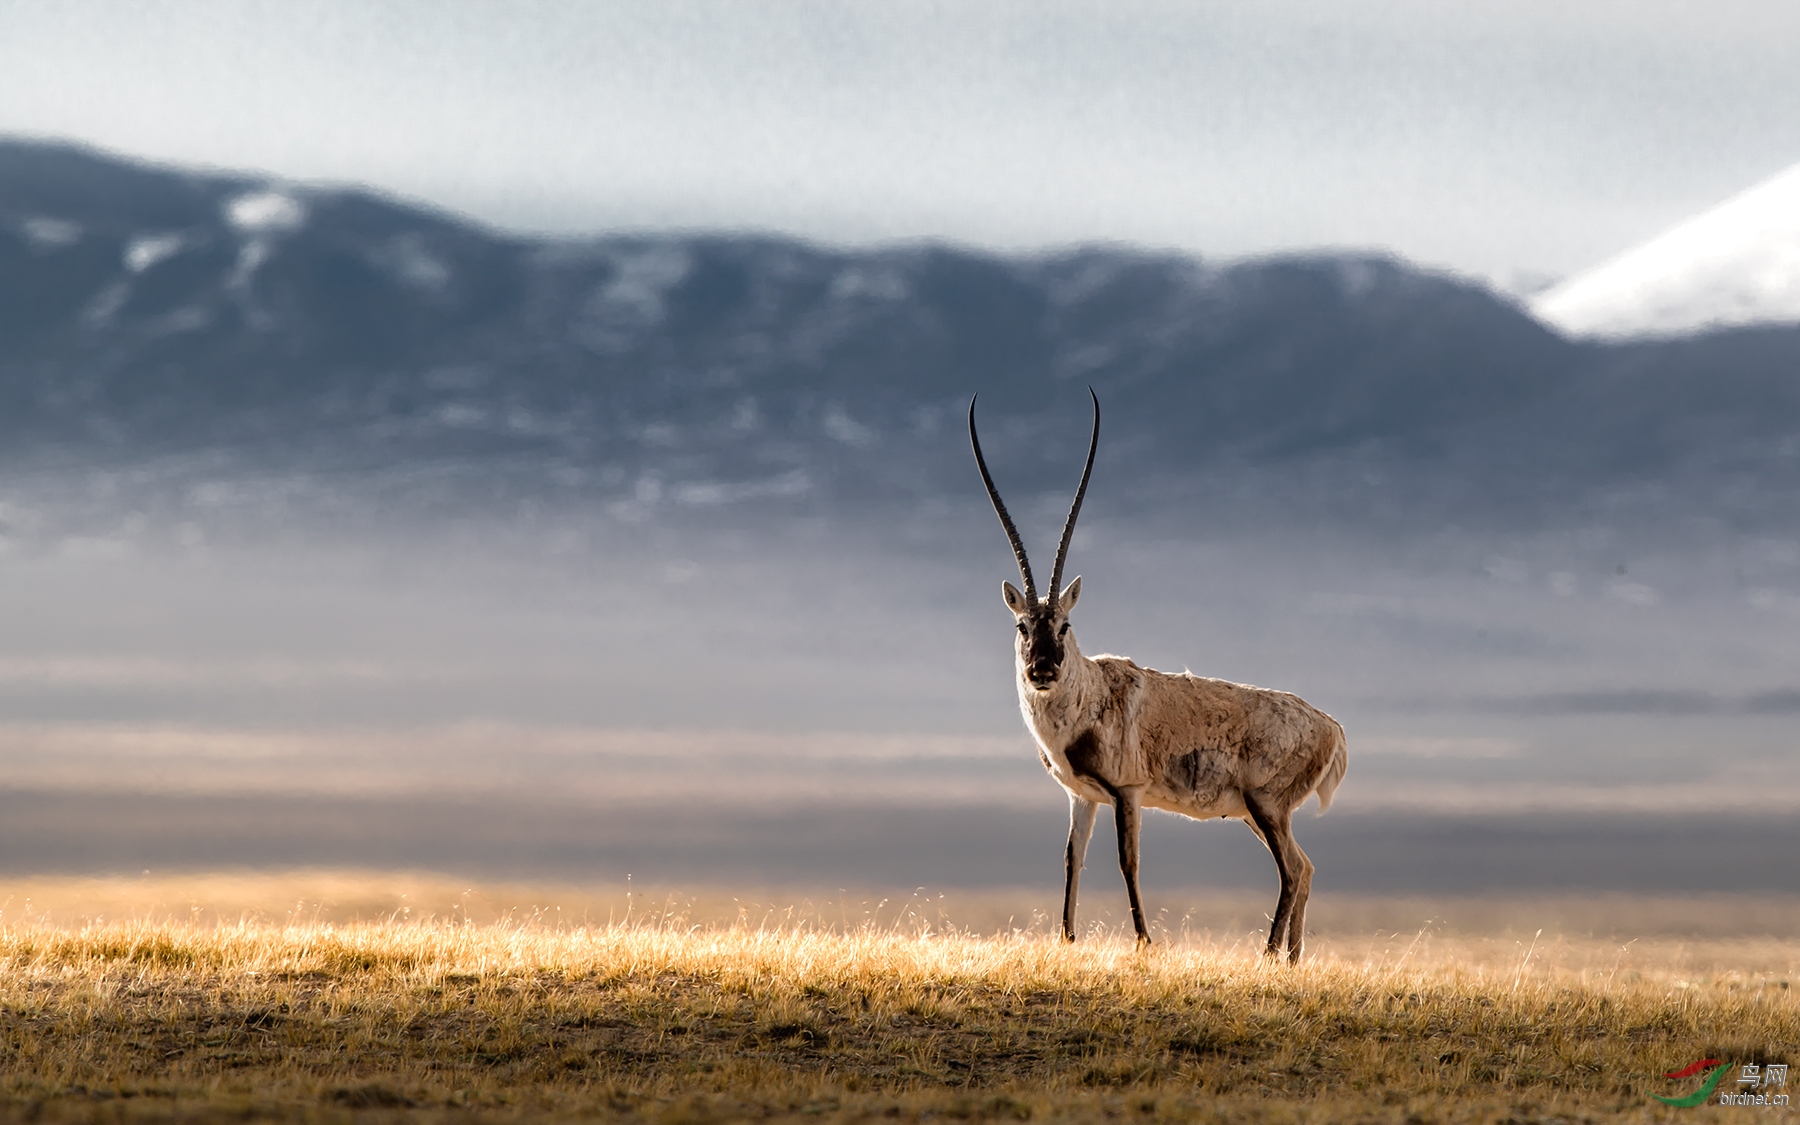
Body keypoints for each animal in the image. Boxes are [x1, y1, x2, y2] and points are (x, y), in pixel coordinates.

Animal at [972, 390, 1339, 957]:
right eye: (1022, 624)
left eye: (1065, 623)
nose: (1042, 669)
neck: (1089, 693)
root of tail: (1330, 727)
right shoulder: (1082, 797)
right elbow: (1072, 859)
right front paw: (1067, 939)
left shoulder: (1127, 792)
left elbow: (1128, 860)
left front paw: (1145, 941)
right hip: (1259, 812)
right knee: (1307, 866)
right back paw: (1291, 960)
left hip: (1265, 805)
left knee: (1293, 870)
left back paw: (1268, 956)